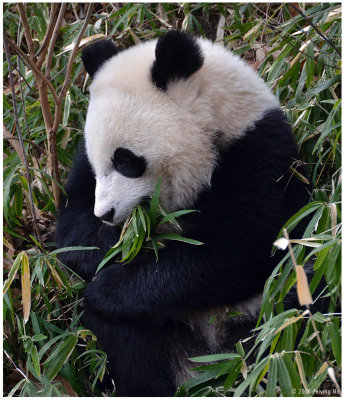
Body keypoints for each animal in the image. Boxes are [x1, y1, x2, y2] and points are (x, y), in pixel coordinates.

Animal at [56, 29, 310, 396]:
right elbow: (73, 231)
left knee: (294, 310)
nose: (106, 213)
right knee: (122, 338)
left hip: (267, 305)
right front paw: (114, 244)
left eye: (125, 160)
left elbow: (232, 253)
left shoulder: (260, 153)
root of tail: (208, 361)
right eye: (98, 162)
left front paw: (111, 280)